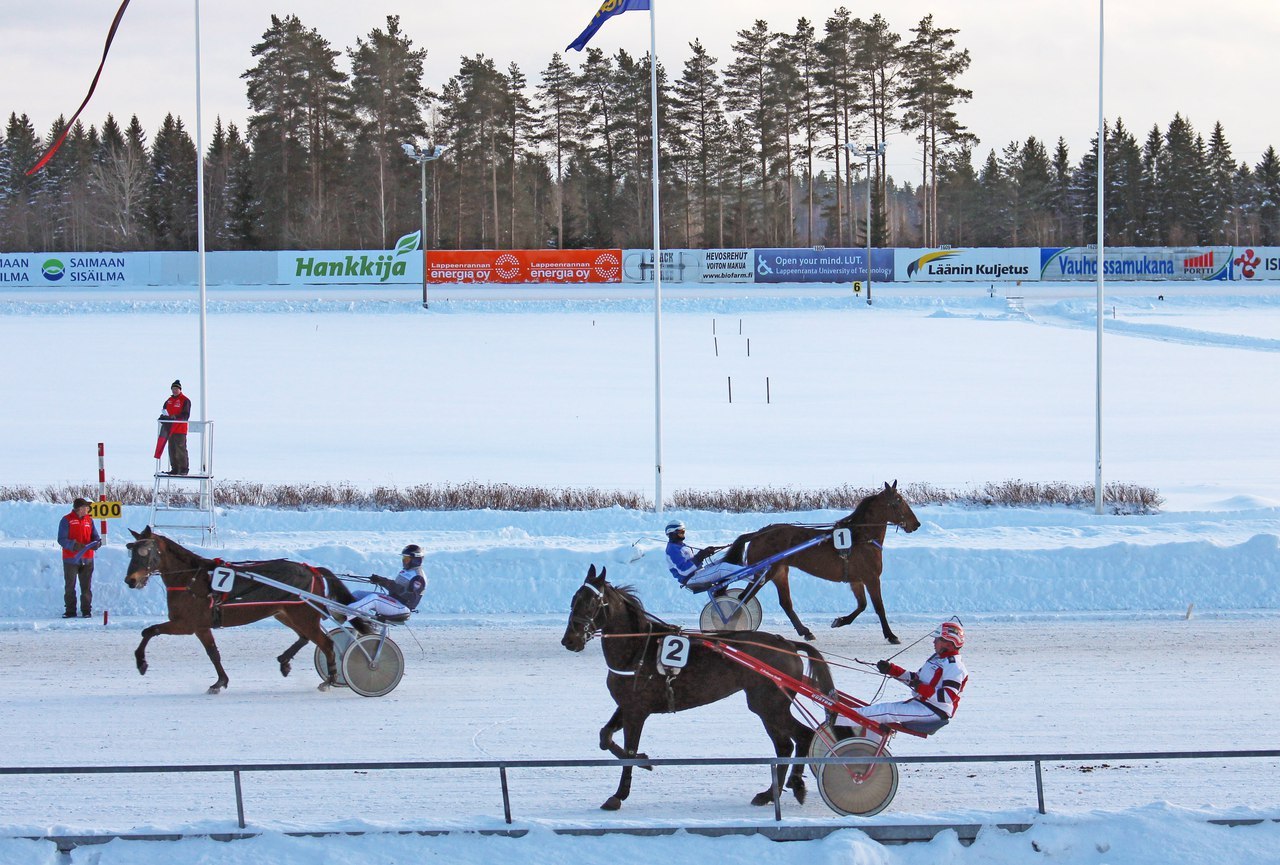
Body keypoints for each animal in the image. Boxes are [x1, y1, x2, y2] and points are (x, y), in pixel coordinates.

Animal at [122, 524, 366, 690]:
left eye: (144, 552)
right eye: (131, 551)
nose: (130, 580)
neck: (191, 579)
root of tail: (312, 569)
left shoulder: (188, 624)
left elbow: (150, 631)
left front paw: (141, 662)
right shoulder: (201, 627)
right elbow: (213, 653)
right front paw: (220, 681)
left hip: (303, 615)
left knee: (325, 643)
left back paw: (330, 679)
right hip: (286, 614)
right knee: (306, 637)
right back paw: (285, 662)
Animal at [560, 568, 829, 808]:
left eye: (591, 603)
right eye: (573, 600)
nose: (569, 640)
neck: (636, 651)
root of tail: (787, 644)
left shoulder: (637, 711)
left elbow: (628, 751)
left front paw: (619, 794)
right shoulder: (627, 705)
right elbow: (605, 737)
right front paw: (644, 760)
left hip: (770, 705)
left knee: (801, 737)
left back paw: (793, 784)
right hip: (767, 707)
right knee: (785, 745)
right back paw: (770, 793)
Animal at [721, 483, 921, 644]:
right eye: (898, 501)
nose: (916, 524)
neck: (862, 537)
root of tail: (757, 534)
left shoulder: (856, 580)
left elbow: (862, 605)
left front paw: (839, 621)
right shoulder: (871, 577)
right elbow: (879, 607)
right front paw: (891, 635)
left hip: (779, 572)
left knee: (785, 603)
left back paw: (805, 631)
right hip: (765, 572)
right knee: (742, 599)